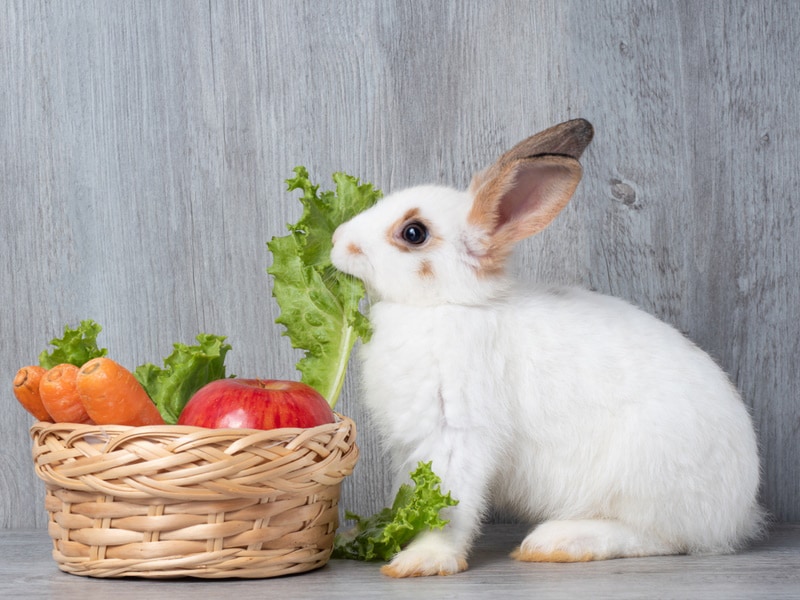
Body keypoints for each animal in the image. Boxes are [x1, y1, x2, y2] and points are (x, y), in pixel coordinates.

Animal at [330, 120, 764, 576]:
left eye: (413, 233)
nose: (338, 240)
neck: (447, 305)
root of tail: (741, 510)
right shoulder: (410, 449)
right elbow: (409, 496)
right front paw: (370, 535)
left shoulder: (457, 435)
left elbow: (451, 507)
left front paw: (421, 559)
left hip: (645, 480)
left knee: (661, 538)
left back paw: (558, 542)